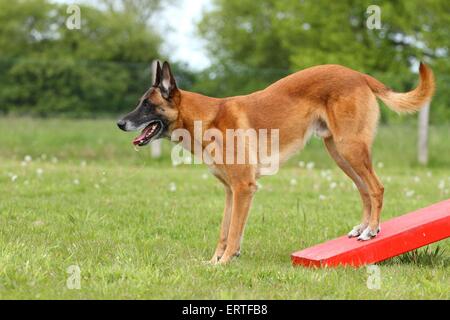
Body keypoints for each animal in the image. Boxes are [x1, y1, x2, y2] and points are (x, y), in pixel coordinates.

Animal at [118, 60, 434, 264]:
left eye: (147, 105)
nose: (120, 123)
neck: (206, 118)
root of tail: (358, 75)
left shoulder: (244, 188)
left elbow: (234, 230)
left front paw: (225, 262)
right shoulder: (231, 191)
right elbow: (224, 230)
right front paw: (215, 261)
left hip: (350, 148)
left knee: (377, 188)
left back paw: (372, 230)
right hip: (341, 154)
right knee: (365, 190)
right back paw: (363, 227)